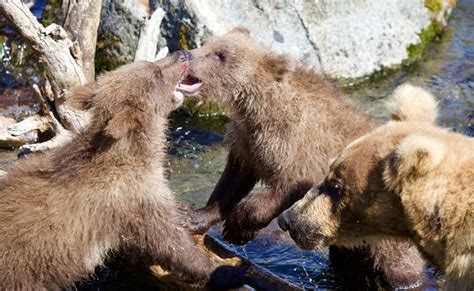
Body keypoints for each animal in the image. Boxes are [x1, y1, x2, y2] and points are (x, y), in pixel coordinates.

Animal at [177, 28, 422, 290]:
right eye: (206, 43)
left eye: (221, 55)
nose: (187, 55)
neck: (260, 106)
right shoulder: (247, 143)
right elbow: (231, 183)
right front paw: (192, 217)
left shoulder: (298, 145)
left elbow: (289, 186)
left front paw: (238, 227)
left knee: (398, 268)